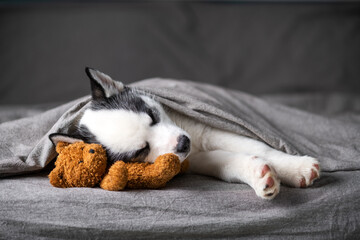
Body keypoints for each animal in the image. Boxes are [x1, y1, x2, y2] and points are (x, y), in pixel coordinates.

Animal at [61, 67, 320, 199]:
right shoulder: (193, 160)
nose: (184, 143)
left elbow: (260, 147)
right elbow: (227, 163)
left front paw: (296, 167)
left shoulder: (205, 131)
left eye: (152, 114)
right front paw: (258, 175)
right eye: (141, 151)